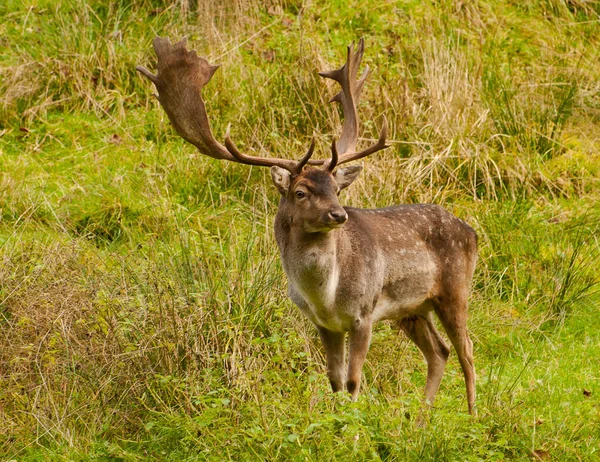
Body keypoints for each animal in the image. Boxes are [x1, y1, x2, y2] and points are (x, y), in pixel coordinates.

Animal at [137, 35, 478, 412]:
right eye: (300, 192)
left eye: (336, 188)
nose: (339, 215)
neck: (325, 296)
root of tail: (472, 232)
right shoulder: (325, 325)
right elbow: (335, 381)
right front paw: (338, 421)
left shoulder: (363, 313)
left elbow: (354, 381)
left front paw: (354, 424)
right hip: (413, 309)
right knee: (439, 351)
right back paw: (419, 419)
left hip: (455, 288)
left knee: (467, 351)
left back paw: (473, 415)